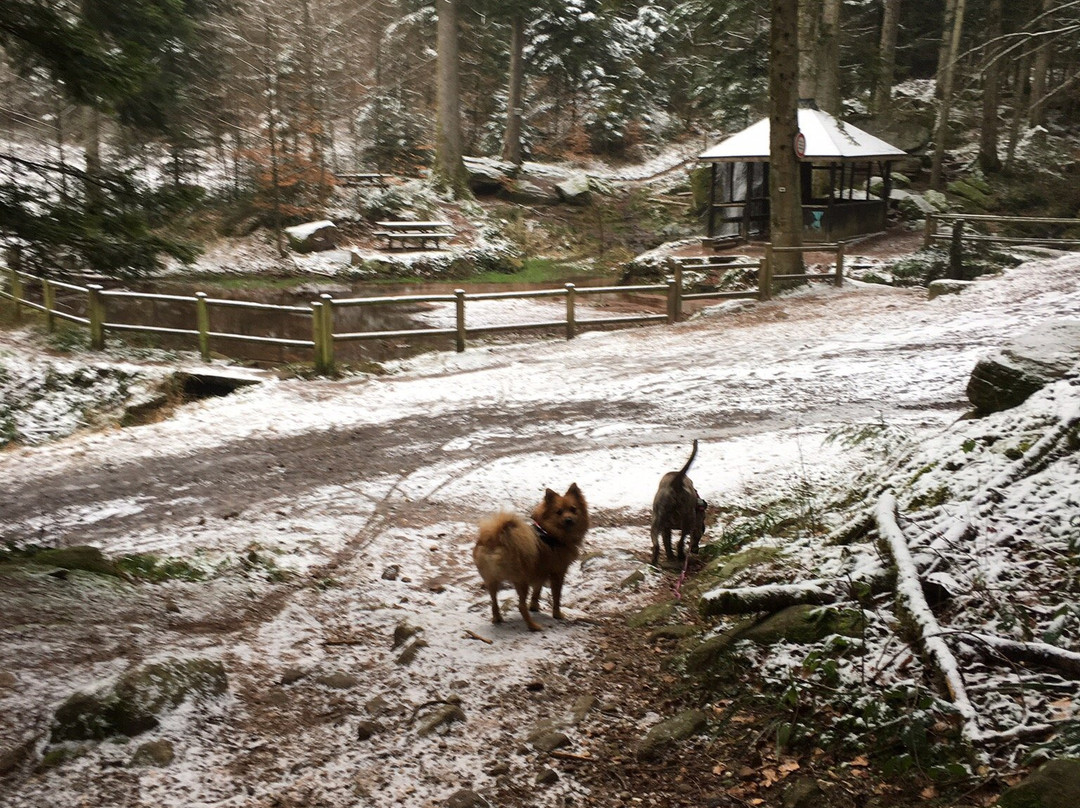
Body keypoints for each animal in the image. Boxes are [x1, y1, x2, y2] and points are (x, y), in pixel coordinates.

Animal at [473, 479, 591, 630]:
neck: (550, 532)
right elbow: (556, 597)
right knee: (520, 606)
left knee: (493, 602)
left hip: (492, 580)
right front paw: (557, 614)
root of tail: (495, 538)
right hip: (521, 581)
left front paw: (534, 606)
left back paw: (497, 618)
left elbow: (537, 591)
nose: (568, 519)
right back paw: (533, 626)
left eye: (573, 509)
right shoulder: (558, 572)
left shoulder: (539, 571)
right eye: (559, 512)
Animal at [648, 438, 708, 566]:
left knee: (656, 544)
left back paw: (654, 562)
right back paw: (681, 556)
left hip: (656, 521)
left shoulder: (666, 528)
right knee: (680, 542)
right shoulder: (696, 526)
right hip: (687, 520)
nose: (696, 550)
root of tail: (676, 483)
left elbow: (667, 543)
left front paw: (670, 557)